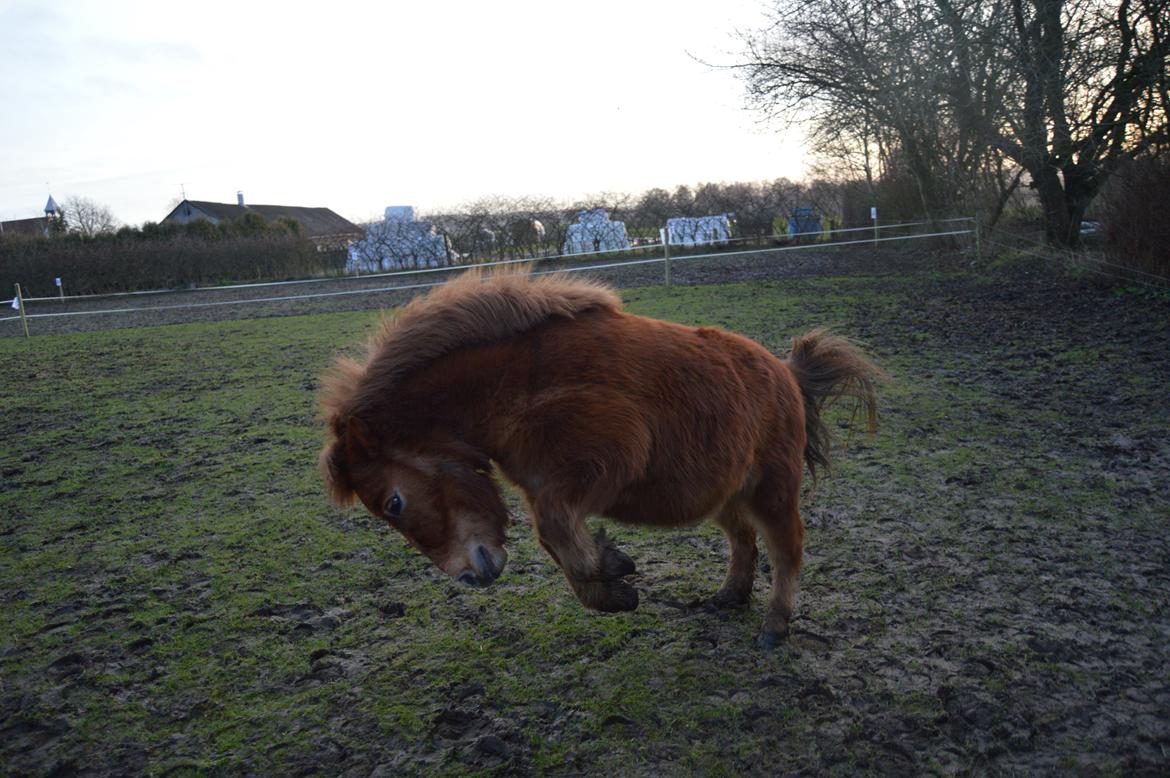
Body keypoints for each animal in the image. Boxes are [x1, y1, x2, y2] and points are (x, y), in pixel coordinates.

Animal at [315, 270, 879, 645]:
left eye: (394, 503)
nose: (469, 577)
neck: (513, 384)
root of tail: (785, 372)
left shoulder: (601, 465)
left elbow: (554, 532)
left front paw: (611, 579)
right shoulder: (544, 486)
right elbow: (556, 542)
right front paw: (612, 578)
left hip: (772, 490)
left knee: (787, 548)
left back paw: (776, 624)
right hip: (724, 493)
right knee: (744, 540)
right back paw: (729, 596)